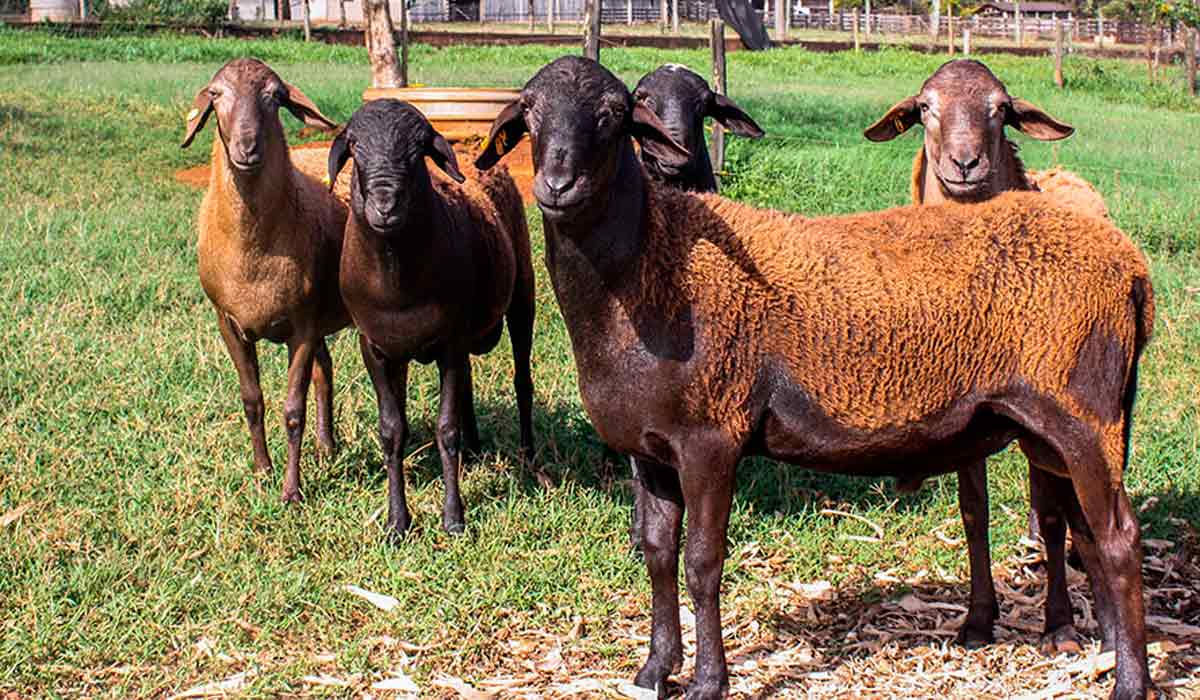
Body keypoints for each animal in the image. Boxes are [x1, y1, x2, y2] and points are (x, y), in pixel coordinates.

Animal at [182, 56, 350, 504]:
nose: (247, 147)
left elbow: (293, 411)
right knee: (325, 371)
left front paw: (292, 491)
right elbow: (251, 400)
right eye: (216, 94)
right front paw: (262, 471)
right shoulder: (227, 322)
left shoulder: (302, 327)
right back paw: (327, 447)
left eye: (275, 96)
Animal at [328, 97, 535, 537]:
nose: (385, 205)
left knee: (522, 381)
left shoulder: (449, 344)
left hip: (523, 293)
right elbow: (392, 431)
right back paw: (474, 451)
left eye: (418, 149)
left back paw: (528, 453)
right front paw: (396, 522)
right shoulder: (377, 349)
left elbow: (446, 428)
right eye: (355, 146)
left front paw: (454, 518)